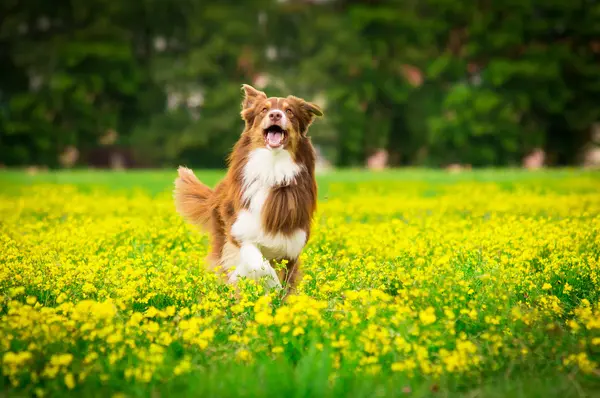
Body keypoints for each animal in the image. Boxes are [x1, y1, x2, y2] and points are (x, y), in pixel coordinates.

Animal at [173, 84, 324, 292]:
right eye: (264, 110)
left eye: (289, 111)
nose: (275, 115)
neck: (272, 166)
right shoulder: (239, 231)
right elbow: (259, 265)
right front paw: (259, 285)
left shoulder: (292, 242)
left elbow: (284, 279)